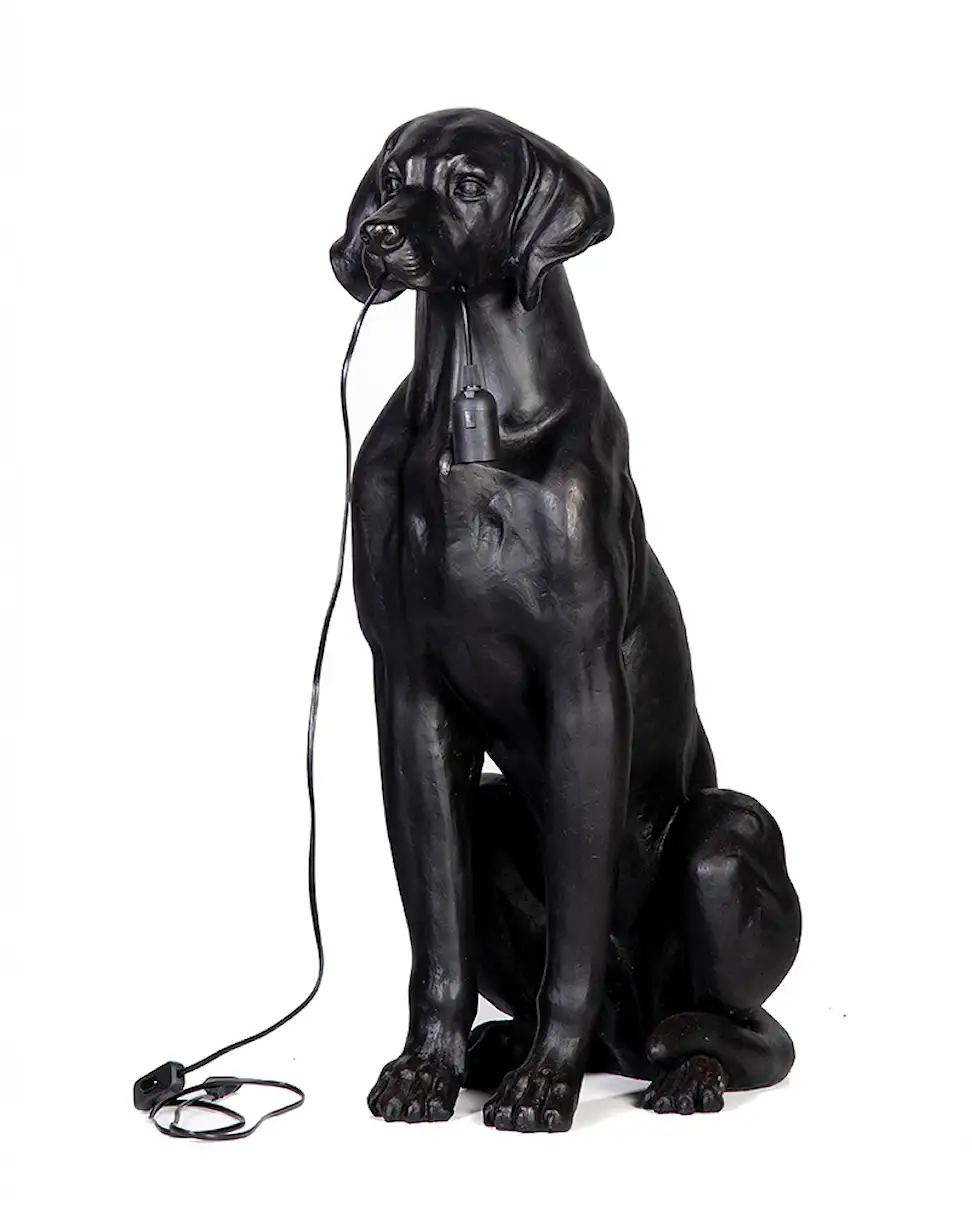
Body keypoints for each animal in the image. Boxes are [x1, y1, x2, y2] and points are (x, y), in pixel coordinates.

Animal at [330, 108, 801, 1133]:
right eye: (389, 178)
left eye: (469, 185)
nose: (375, 236)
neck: (465, 411)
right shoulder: (410, 690)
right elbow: (437, 940)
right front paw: (424, 1070)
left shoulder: (583, 681)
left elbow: (577, 932)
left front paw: (546, 1084)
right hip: (497, 814)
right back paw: (500, 1047)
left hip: (726, 841)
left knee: (742, 1028)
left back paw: (683, 1070)